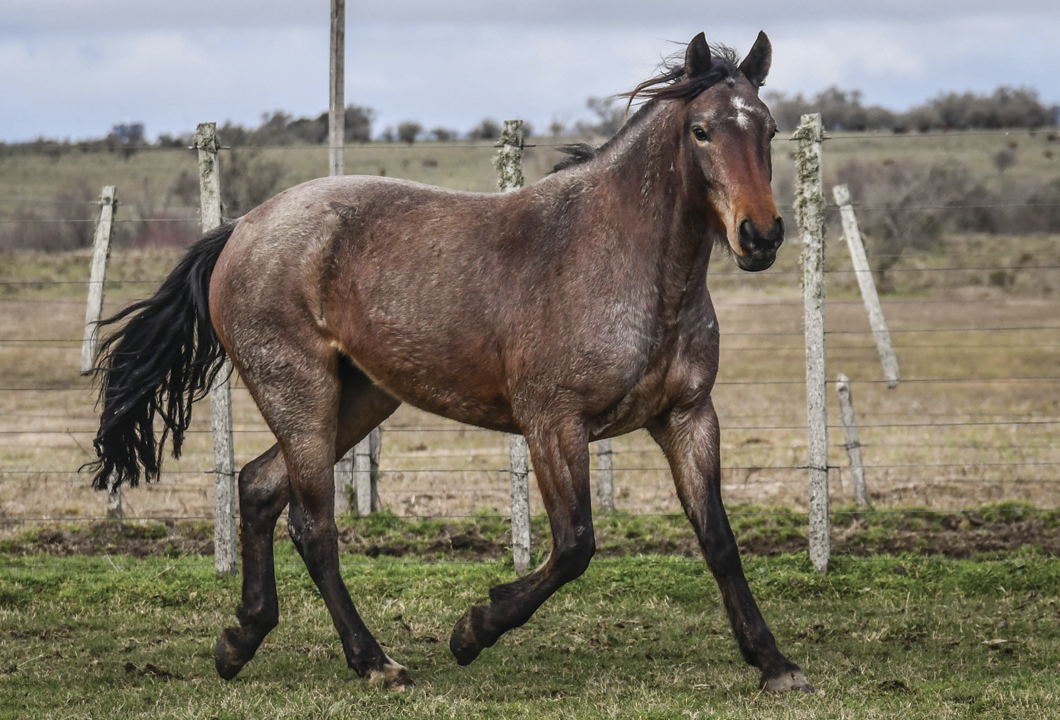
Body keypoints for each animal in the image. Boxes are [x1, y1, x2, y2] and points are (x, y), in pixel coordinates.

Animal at [91, 32, 814, 691]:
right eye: (701, 130)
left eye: (770, 129)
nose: (761, 235)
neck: (630, 264)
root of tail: (241, 228)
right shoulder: (554, 424)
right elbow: (574, 544)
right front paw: (473, 629)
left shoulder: (688, 416)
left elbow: (717, 539)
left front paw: (774, 663)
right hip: (300, 394)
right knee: (313, 525)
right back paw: (374, 662)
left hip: (361, 397)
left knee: (258, 488)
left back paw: (240, 641)